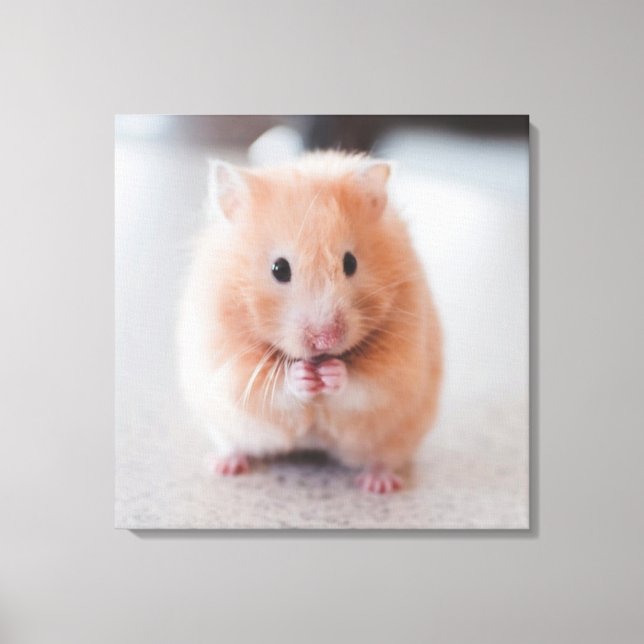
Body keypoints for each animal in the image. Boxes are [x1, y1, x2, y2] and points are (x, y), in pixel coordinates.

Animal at [177, 151, 442, 493]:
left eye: (350, 263)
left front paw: (332, 373)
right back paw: (224, 465)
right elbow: (271, 388)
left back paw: (378, 484)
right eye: (279, 269)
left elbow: (364, 385)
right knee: (233, 444)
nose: (325, 340)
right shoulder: (229, 364)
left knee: (383, 458)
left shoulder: (399, 367)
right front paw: (303, 376)